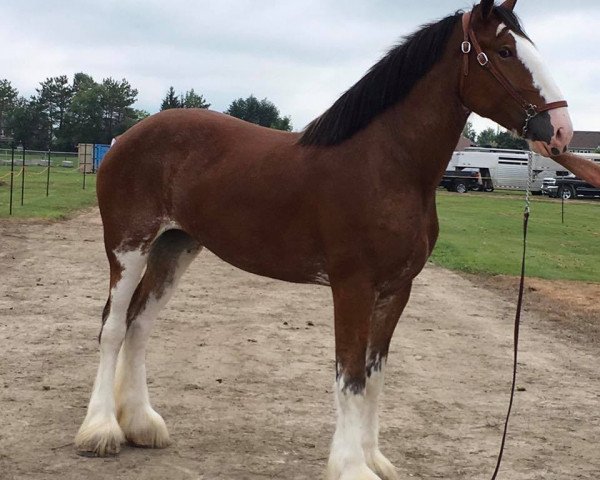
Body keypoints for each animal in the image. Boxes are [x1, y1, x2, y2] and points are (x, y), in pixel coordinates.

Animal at [75, 1, 600, 478]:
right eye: (506, 51)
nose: (560, 131)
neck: (387, 164)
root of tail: (127, 138)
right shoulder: (353, 287)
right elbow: (348, 376)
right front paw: (350, 467)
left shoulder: (396, 290)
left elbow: (373, 375)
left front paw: (375, 460)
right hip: (129, 247)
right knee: (113, 327)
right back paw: (101, 430)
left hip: (175, 247)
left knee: (140, 325)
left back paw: (142, 425)